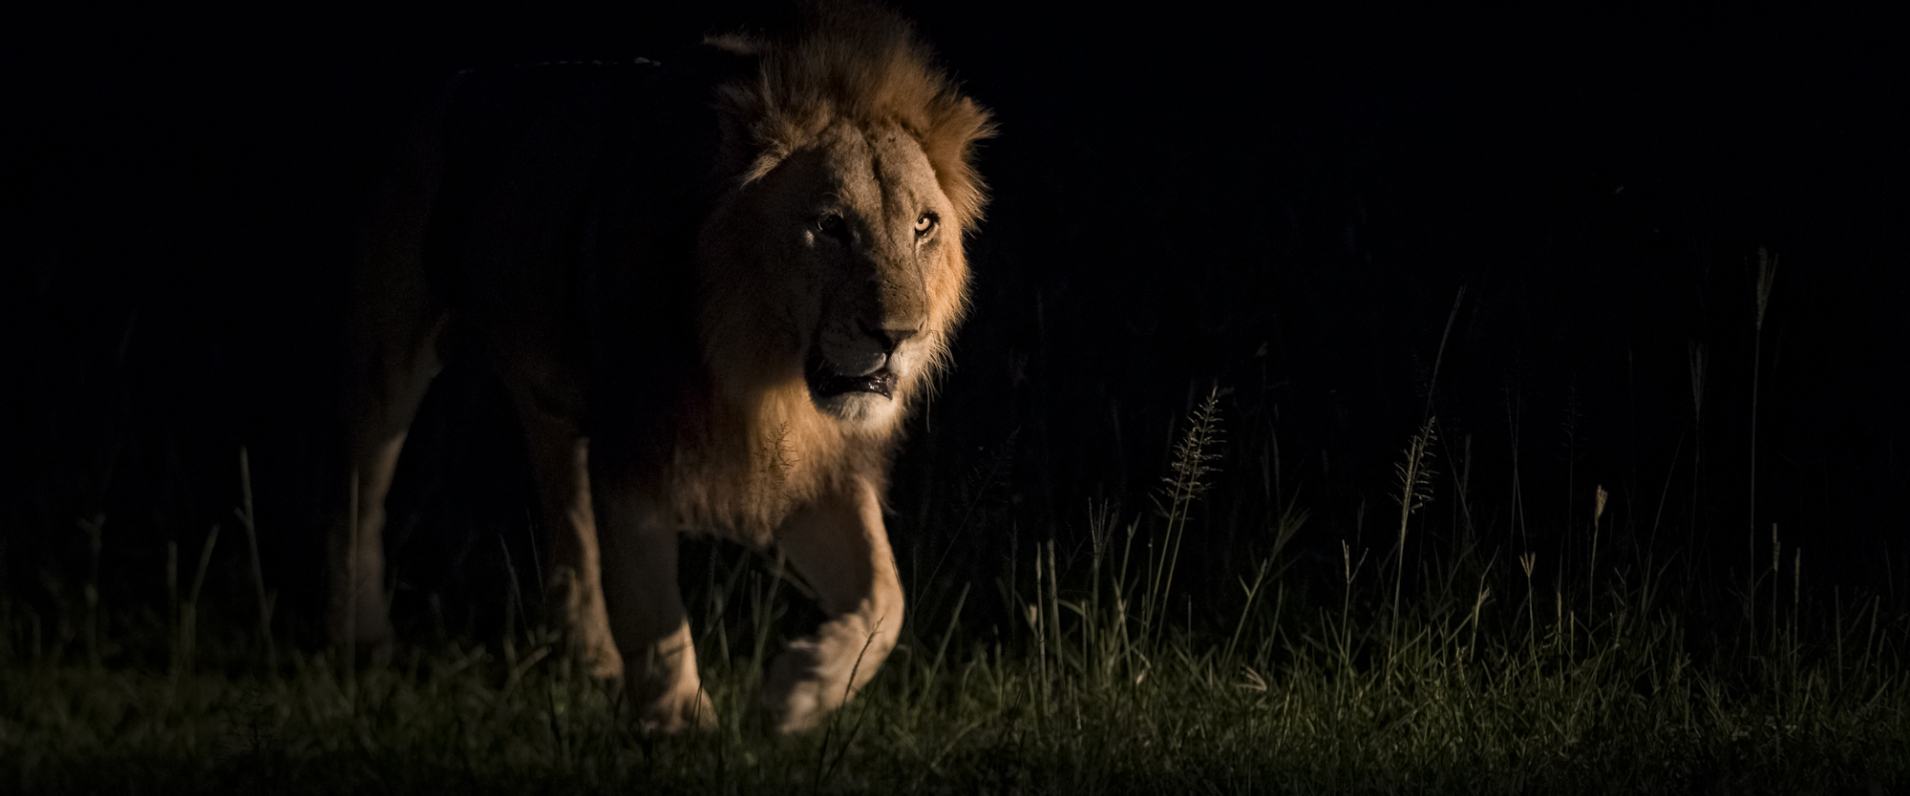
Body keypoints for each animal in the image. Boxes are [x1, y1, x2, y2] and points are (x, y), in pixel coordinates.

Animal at [328, 2, 992, 734]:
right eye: (831, 227)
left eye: (925, 225)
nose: (899, 337)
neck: (759, 368)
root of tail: (456, 81)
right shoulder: (638, 440)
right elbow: (653, 609)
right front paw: (681, 727)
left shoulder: (811, 466)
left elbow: (885, 596)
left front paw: (797, 693)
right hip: (387, 353)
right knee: (359, 496)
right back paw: (362, 643)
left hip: (555, 409)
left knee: (571, 529)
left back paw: (592, 662)